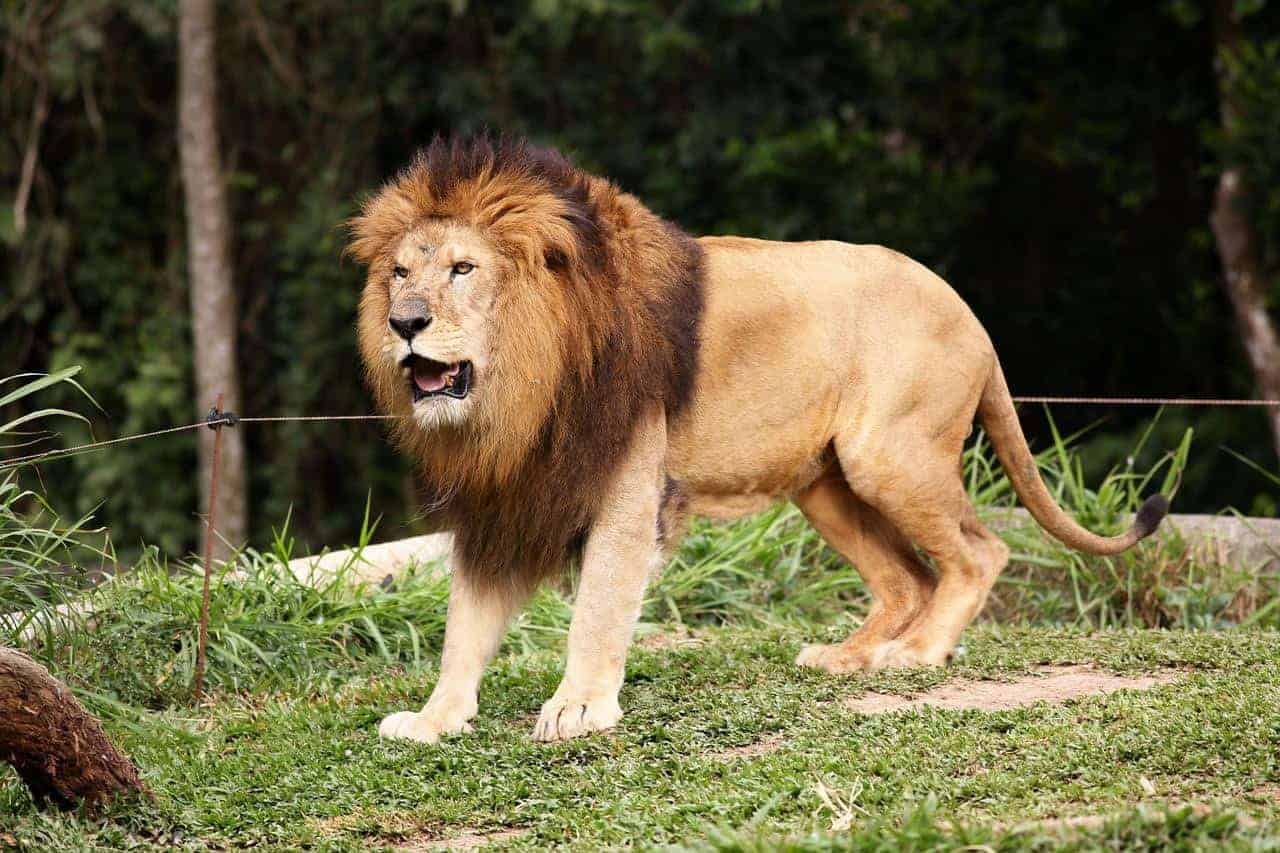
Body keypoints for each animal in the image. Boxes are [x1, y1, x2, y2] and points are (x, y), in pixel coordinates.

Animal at [348, 135, 1168, 744]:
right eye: (400, 273)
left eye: (464, 269)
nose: (405, 322)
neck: (523, 387)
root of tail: (969, 313)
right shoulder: (505, 498)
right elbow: (466, 623)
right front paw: (433, 720)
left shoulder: (626, 488)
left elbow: (599, 606)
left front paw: (578, 706)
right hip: (826, 484)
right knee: (909, 577)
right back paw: (846, 657)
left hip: (888, 455)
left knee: (978, 552)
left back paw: (915, 654)